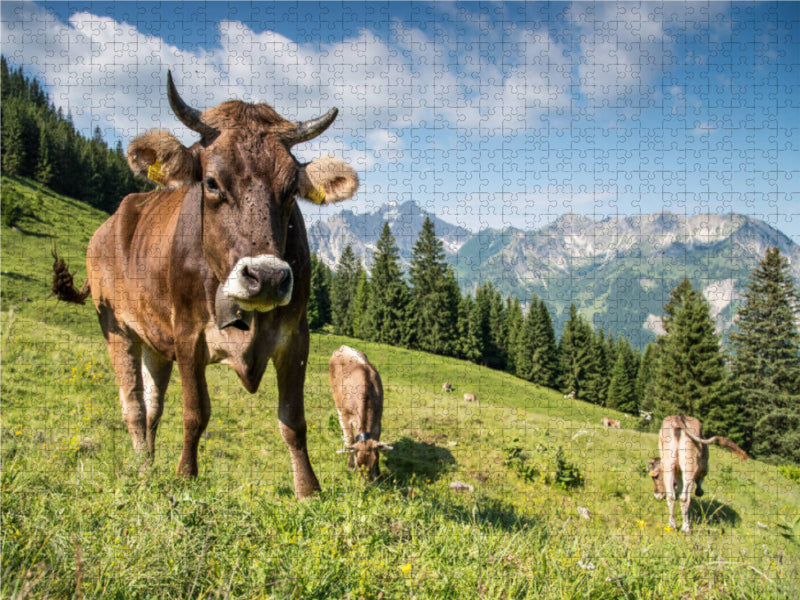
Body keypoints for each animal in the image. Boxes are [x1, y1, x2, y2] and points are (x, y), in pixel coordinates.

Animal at [51, 72, 358, 500]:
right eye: (212, 183)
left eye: (290, 190)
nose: (266, 277)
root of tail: (107, 225)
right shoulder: (187, 334)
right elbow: (196, 412)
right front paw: (186, 476)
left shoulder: (297, 336)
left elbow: (293, 421)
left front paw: (308, 489)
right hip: (115, 326)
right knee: (133, 405)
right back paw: (142, 470)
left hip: (155, 340)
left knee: (152, 404)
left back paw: (148, 463)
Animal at [330, 346, 392, 478]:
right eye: (358, 464)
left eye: (374, 462)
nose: (366, 481)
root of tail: (343, 347)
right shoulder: (346, 417)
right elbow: (351, 440)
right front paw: (349, 467)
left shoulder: (378, 420)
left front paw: (378, 473)